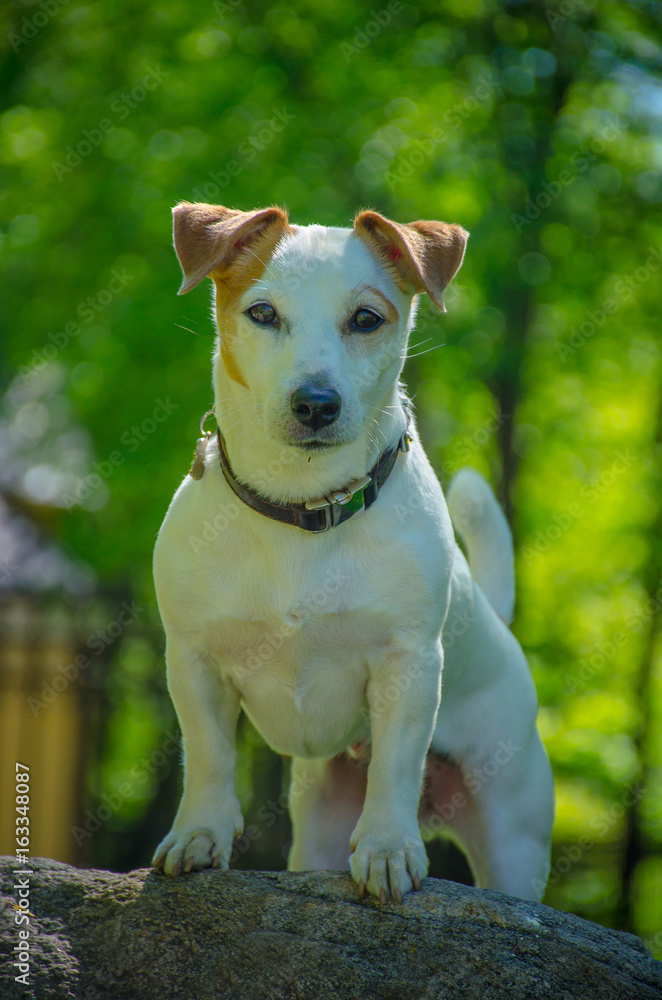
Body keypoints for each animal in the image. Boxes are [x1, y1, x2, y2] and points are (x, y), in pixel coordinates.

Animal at [150, 199, 556, 904]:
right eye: (263, 313)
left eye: (366, 318)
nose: (315, 402)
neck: (304, 508)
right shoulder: (193, 660)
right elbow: (208, 755)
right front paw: (200, 833)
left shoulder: (408, 665)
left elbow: (394, 764)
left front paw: (390, 848)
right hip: (318, 824)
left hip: (513, 838)